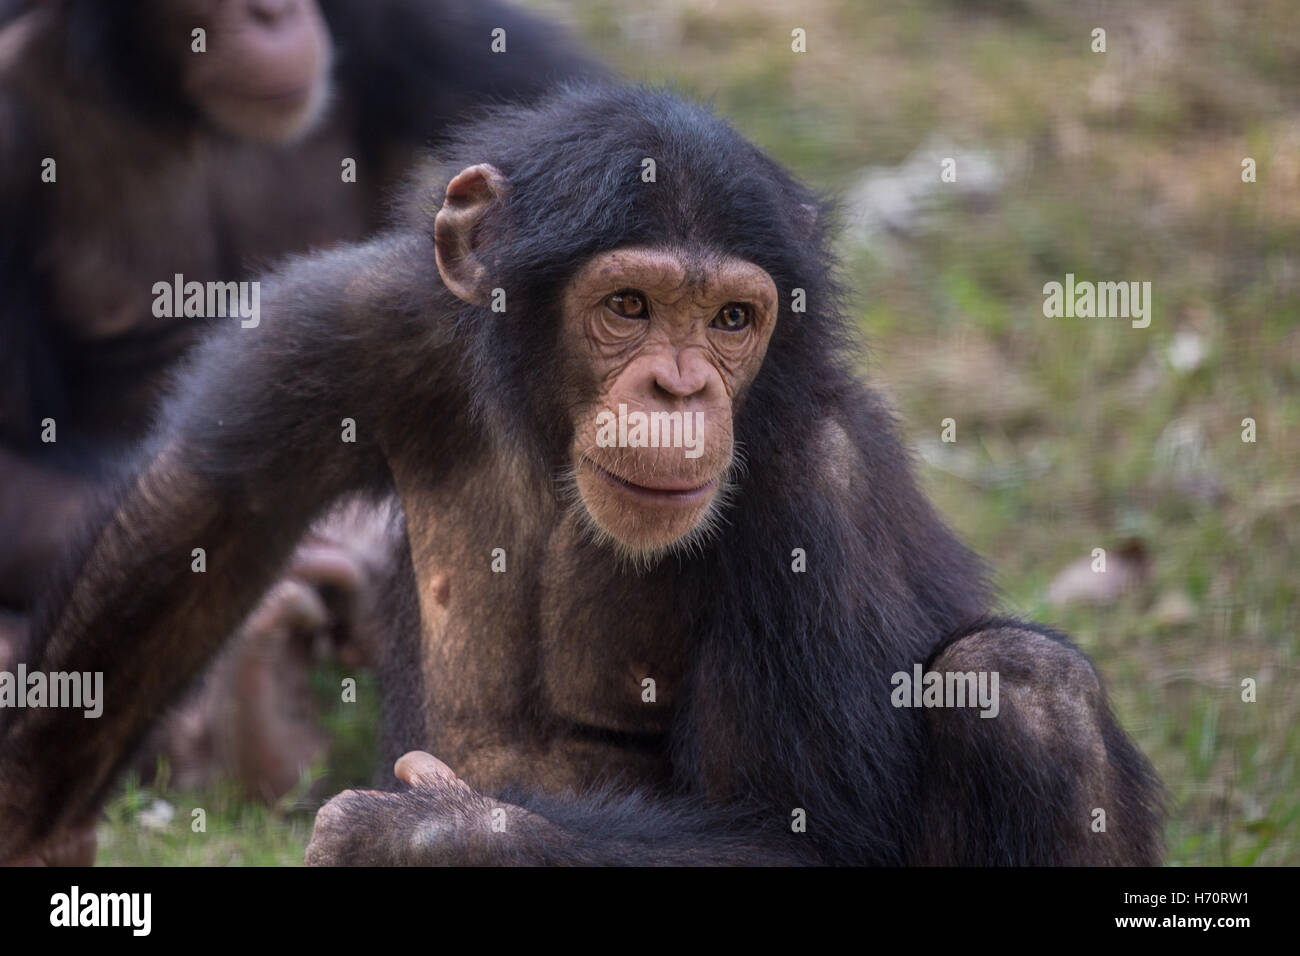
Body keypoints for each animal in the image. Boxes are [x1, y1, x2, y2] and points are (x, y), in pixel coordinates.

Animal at [0, 87, 1170, 868]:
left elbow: (806, 834)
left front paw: (432, 835)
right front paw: (29, 817)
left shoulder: (818, 487)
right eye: (630, 306)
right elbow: (204, 515)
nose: (679, 384)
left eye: (732, 319)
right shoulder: (355, 321)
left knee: (1024, 685)